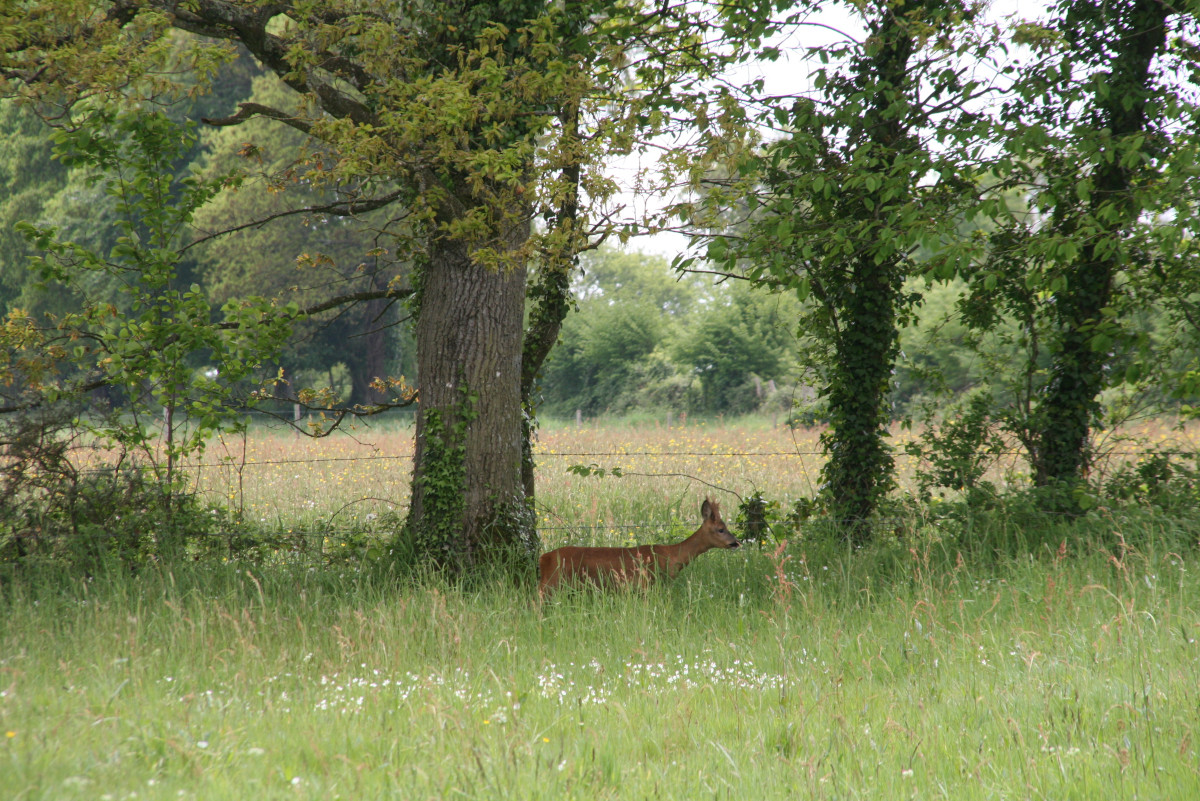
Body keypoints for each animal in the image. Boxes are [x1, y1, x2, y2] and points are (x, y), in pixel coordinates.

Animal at [537, 494, 739, 594]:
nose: (735, 542)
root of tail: (544, 557)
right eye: (721, 529)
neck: (672, 556)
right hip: (554, 581)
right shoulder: (646, 583)